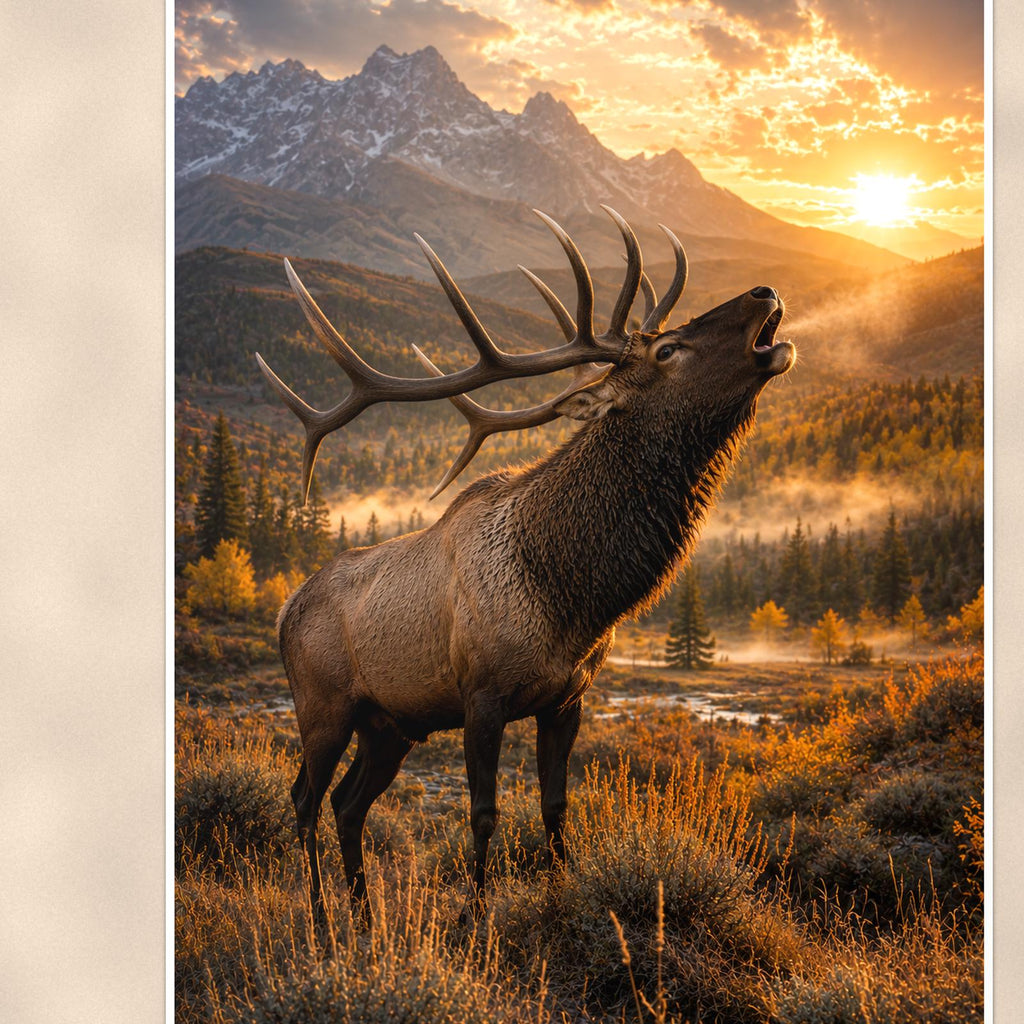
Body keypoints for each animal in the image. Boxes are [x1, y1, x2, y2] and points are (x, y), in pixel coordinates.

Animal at [254, 206, 795, 926]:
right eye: (666, 351)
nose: (764, 292)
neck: (570, 599)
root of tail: (285, 609)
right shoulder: (480, 695)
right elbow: (484, 813)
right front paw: (473, 918)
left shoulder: (568, 698)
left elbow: (555, 807)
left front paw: (561, 899)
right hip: (322, 707)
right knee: (304, 800)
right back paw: (321, 919)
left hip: (389, 726)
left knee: (348, 804)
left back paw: (366, 916)